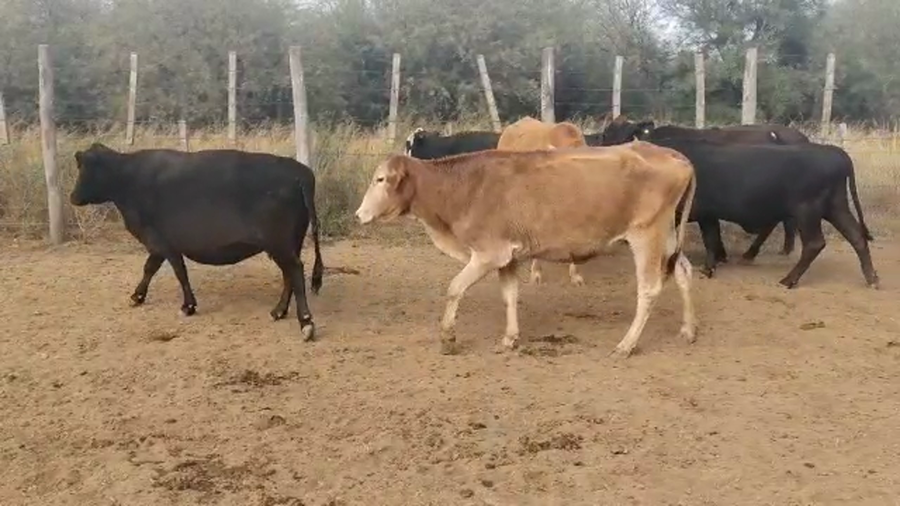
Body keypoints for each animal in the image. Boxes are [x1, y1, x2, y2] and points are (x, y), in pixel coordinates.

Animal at [69, 143, 325, 339]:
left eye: (85, 169)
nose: (72, 197)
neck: (128, 179)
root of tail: (300, 171)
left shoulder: (162, 241)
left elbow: (176, 272)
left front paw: (187, 306)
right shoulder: (162, 244)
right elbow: (151, 268)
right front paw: (137, 296)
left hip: (280, 242)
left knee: (295, 271)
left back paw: (305, 322)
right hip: (289, 243)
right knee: (289, 274)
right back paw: (278, 311)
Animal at [353, 144, 698, 358]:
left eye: (380, 179)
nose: (358, 214)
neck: (463, 188)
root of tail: (674, 155)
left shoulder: (488, 254)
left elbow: (454, 288)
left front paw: (448, 338)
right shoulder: (508, 255)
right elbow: (510, 296)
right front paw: (510, 338)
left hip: (647, 236)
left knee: (649, 289)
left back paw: (626, 345)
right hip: (668, 237)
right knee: (683, 272)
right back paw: (688, 329)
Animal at [624, 137, 878, 289]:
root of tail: (835, 152)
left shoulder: (703, 214)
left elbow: (709, 240)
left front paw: (707, 268)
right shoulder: (709, 215)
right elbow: (712, 239)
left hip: (808, 211)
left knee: (815, 243)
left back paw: (788, 279)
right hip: (835, 207)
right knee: (857, 237)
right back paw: (872, 278)